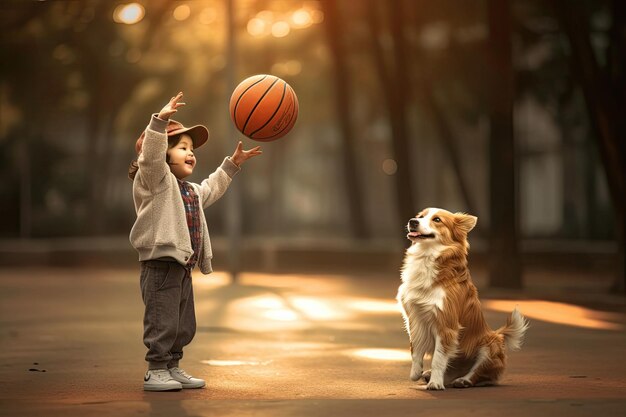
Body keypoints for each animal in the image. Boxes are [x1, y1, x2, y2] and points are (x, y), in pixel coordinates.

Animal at [394, 208, 528, 390]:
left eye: (437, 220)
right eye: (420, 216)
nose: (412, 221)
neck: (427, 257)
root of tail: (498, 334)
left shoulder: (446, 324)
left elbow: (438, 358)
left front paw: (435, 384)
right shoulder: (414, 318)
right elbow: (415, 349)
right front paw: (416, 372)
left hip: (489, 345)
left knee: (482, 375)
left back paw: (463, 380)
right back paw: (431, 375)